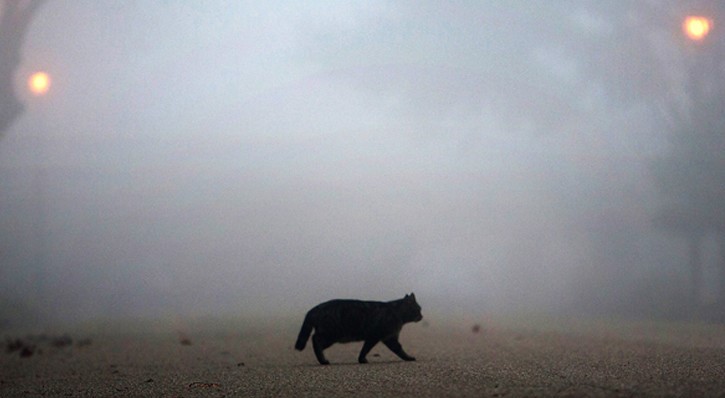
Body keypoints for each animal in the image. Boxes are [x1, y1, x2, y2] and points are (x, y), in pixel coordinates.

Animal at [292, 292, 422, 364]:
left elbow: (367, 349)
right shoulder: (382, 337)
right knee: (315, 339)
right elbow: (396, 349)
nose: (422, 316)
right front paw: (408, 357)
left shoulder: (381, 338)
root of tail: (315, 308)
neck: (397, 312)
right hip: (331, 334)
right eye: (419, 309)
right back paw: (323, 360)